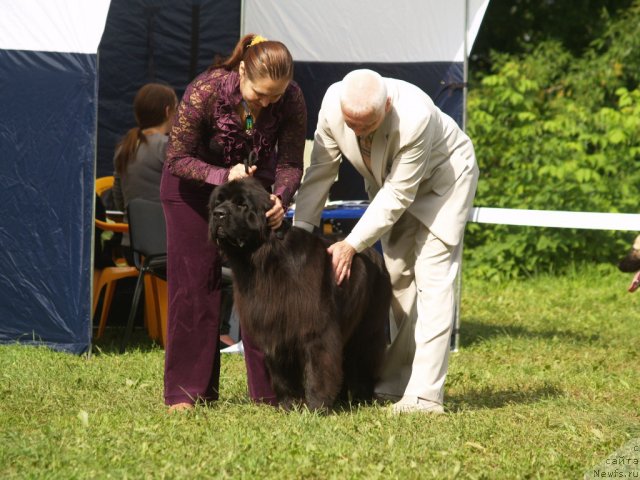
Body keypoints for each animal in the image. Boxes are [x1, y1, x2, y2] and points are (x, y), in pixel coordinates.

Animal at [210, 178, 390, 410]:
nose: (218, 214)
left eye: (242, 204)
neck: (265, 260)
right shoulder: (275, 327)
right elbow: (282, 372)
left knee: (363, 358)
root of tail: (375, 255)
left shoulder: (315, 328)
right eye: (218, 202)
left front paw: (317, 406)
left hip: (368, 325)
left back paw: (361, 398)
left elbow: (318, 368)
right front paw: (290, 405)